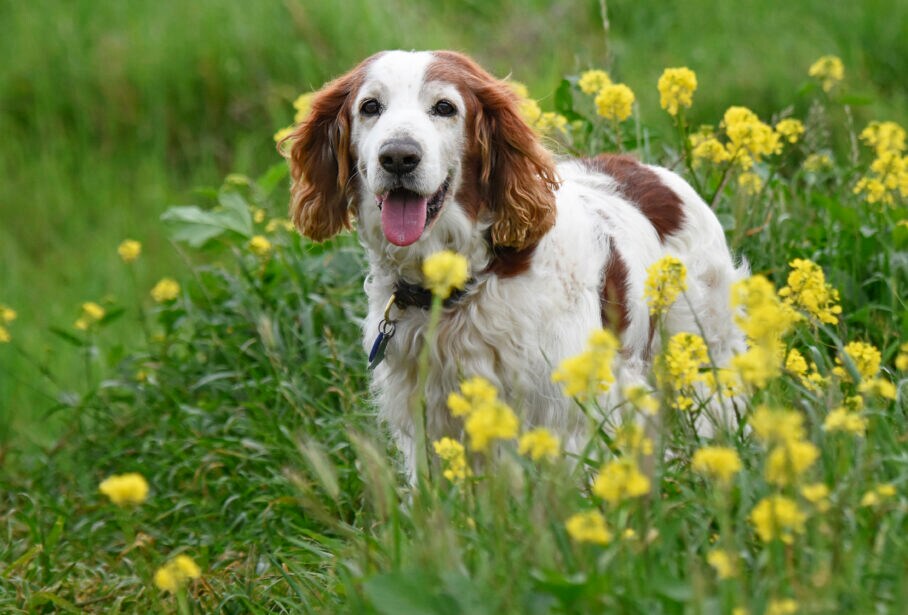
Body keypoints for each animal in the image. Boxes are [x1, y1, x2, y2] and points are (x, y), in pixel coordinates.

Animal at [288, 51, 748, 476]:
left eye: (444, 107)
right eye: (370, 107)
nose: (399, 157)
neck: (463, 282)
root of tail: (653, 172)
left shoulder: (568, 417)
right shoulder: (427, 421)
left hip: (703, 351)